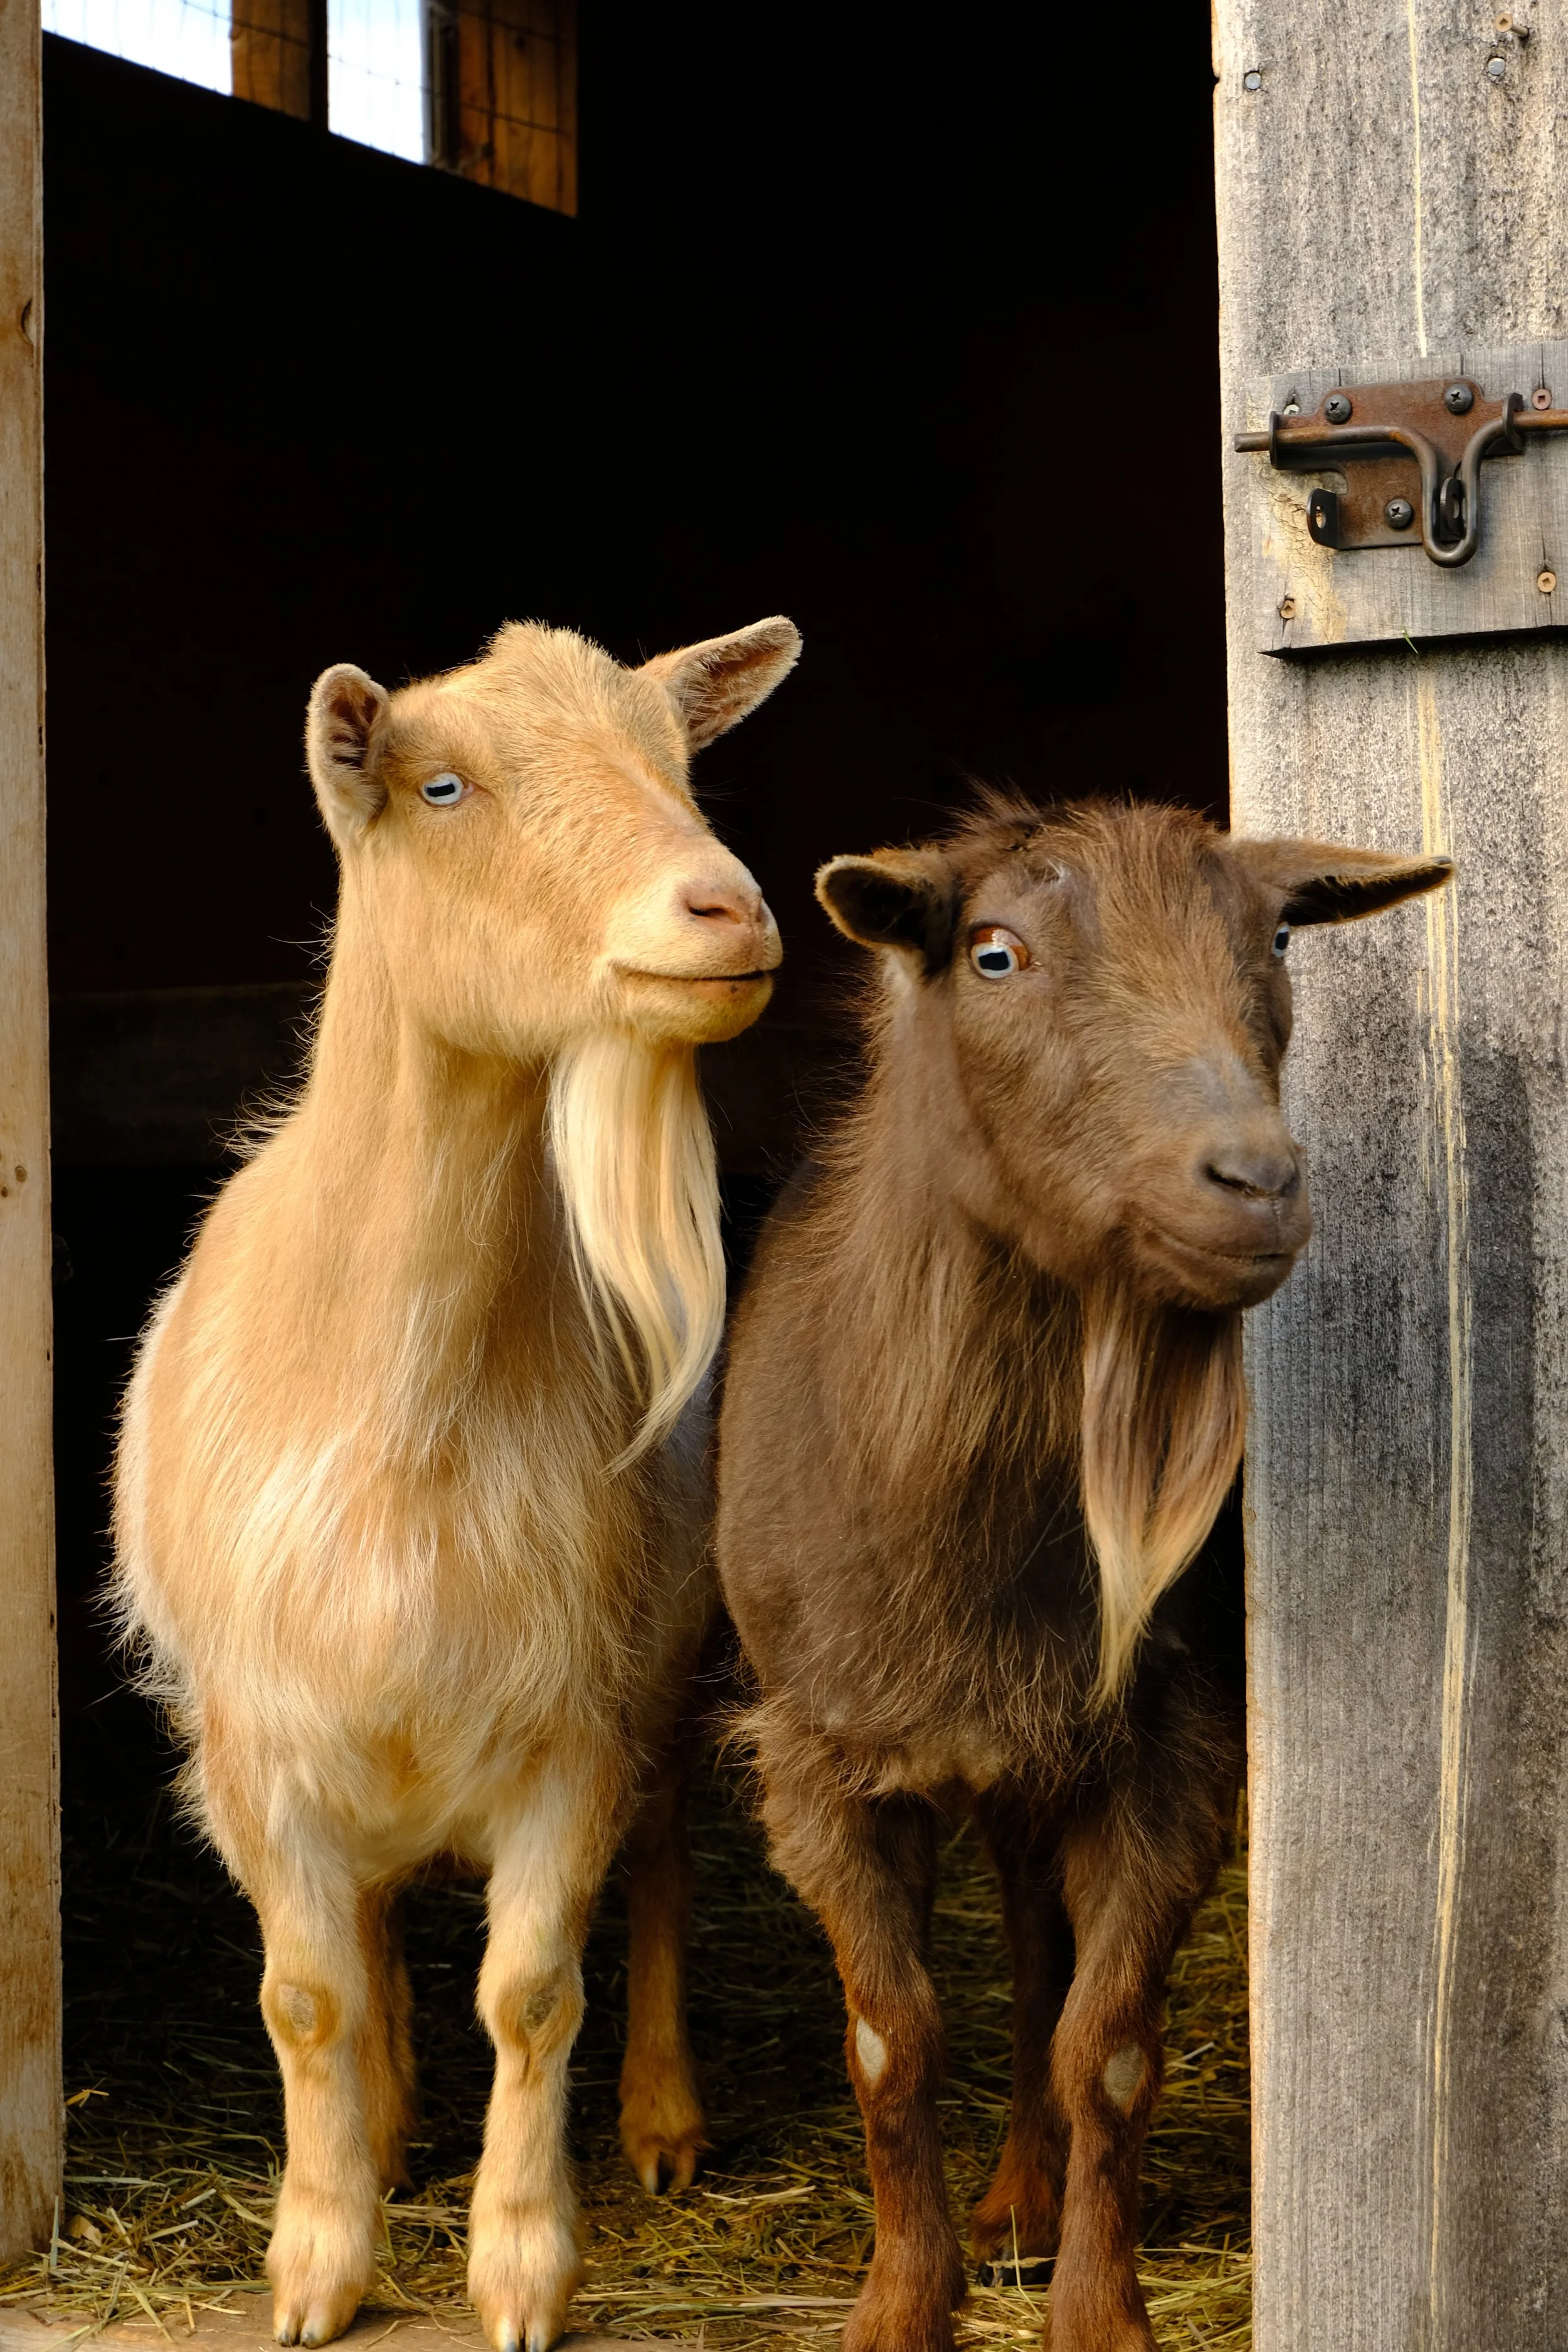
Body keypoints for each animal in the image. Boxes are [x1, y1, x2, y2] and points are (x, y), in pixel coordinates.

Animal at [113, 616, 800, 2352]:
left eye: (678, 762)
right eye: (441, 786)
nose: (726, 907)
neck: (402, 1406)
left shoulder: (570, 1723)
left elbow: (534, 1989)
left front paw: (523, 2263)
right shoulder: (261, 1738)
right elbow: (307, 1994)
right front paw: (315, 2258)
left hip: (664, 1661)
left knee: (667, 1858)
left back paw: (661, 2119)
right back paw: (392, 2114)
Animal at [715, 796, 1450, 2352]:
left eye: (1275, 937)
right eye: (994, 953)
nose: (1253, 1182)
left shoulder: (1172, 1748)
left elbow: (1101, 2045)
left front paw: (1096, 2311)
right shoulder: (814, 1757)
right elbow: (888, 2040)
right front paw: (898, 2305)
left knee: (1040, 1962)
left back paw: (1023, 2205)